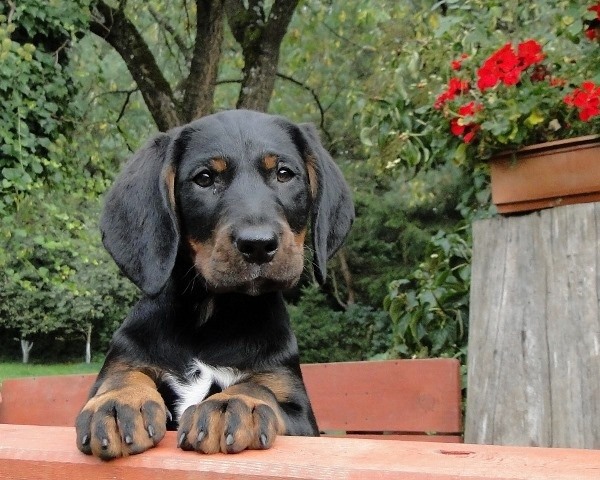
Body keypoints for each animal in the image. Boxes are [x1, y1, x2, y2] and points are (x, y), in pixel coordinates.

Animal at [77, 109, 354, 462]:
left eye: (284, 174)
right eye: (205, 179)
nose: (258, 245)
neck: (211, 315)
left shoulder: (298, 408)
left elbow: (257, 387)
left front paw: (232, 403)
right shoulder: (126, 357)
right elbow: (122, 376)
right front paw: (119, 402)